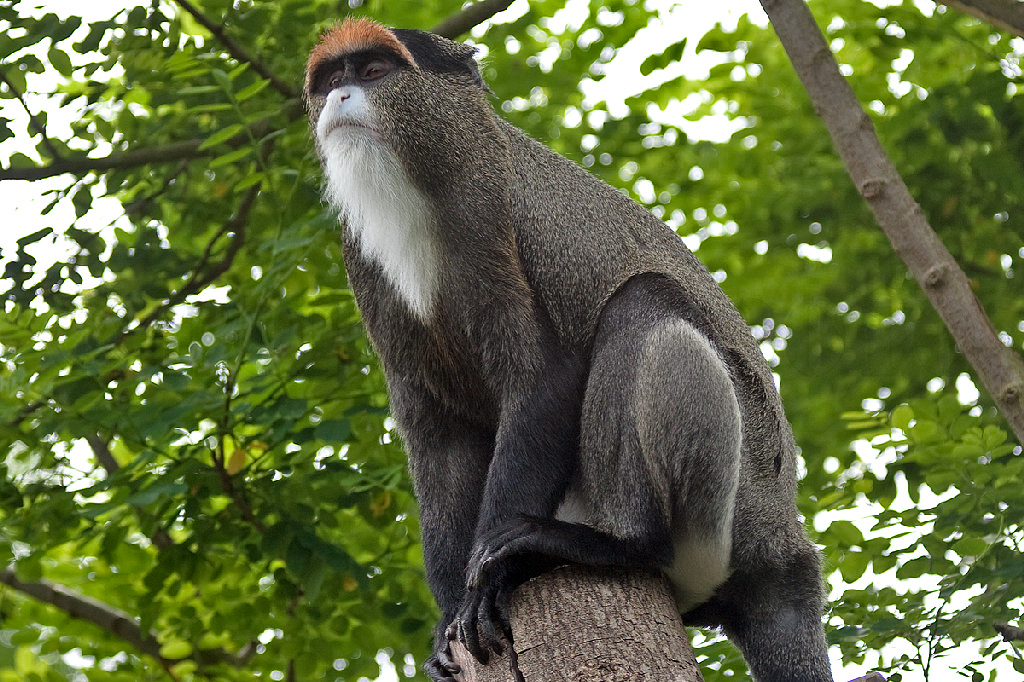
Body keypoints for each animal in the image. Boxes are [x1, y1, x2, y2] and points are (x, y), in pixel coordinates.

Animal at [304, 17, 834, 682]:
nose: (341, 99)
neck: (420, 184)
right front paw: (450, 616)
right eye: (330, 79)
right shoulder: (370, 279)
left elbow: (545, 380)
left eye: (374, 71)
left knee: (646, 301)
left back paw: (620, 545)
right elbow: (437, 438)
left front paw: (485, 587)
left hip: (743, 498)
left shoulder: (494, 221)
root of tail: (790, 548)